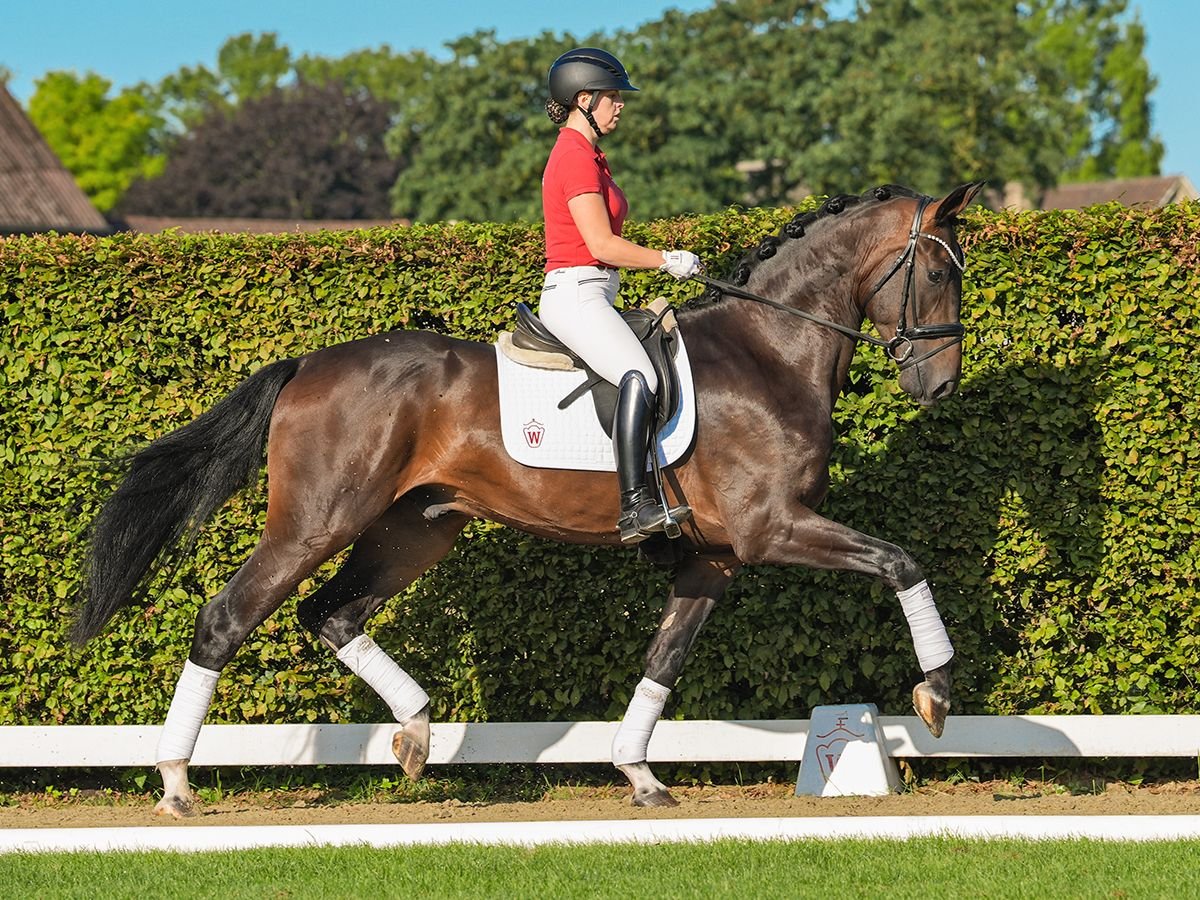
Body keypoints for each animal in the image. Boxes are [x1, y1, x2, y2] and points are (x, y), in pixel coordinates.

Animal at [70, 183, 984, 816]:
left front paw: (638, 773)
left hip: (414, 530)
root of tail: (308, 365)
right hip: (316, 522)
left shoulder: (717, 560)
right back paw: (177, 783)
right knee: (227, 618)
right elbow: (901, 561)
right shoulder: (772, 529)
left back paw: (416, 733)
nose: (939, 385)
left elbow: (664, 661)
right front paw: (937, 694)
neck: (769, 350)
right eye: (940, 270)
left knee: (332, 614)